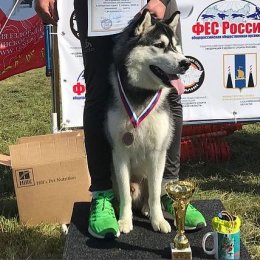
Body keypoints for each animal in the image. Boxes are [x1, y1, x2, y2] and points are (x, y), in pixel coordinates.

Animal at [105, 10, 191, 235]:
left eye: (176, 45)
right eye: (159, 45)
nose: (186, 63)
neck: (141, 97)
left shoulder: (157, 153)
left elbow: (153, 195)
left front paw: (157, 220)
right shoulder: (119, 153)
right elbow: (125, 195)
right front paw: (124, 221)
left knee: (153, 192)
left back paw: (147, 209)